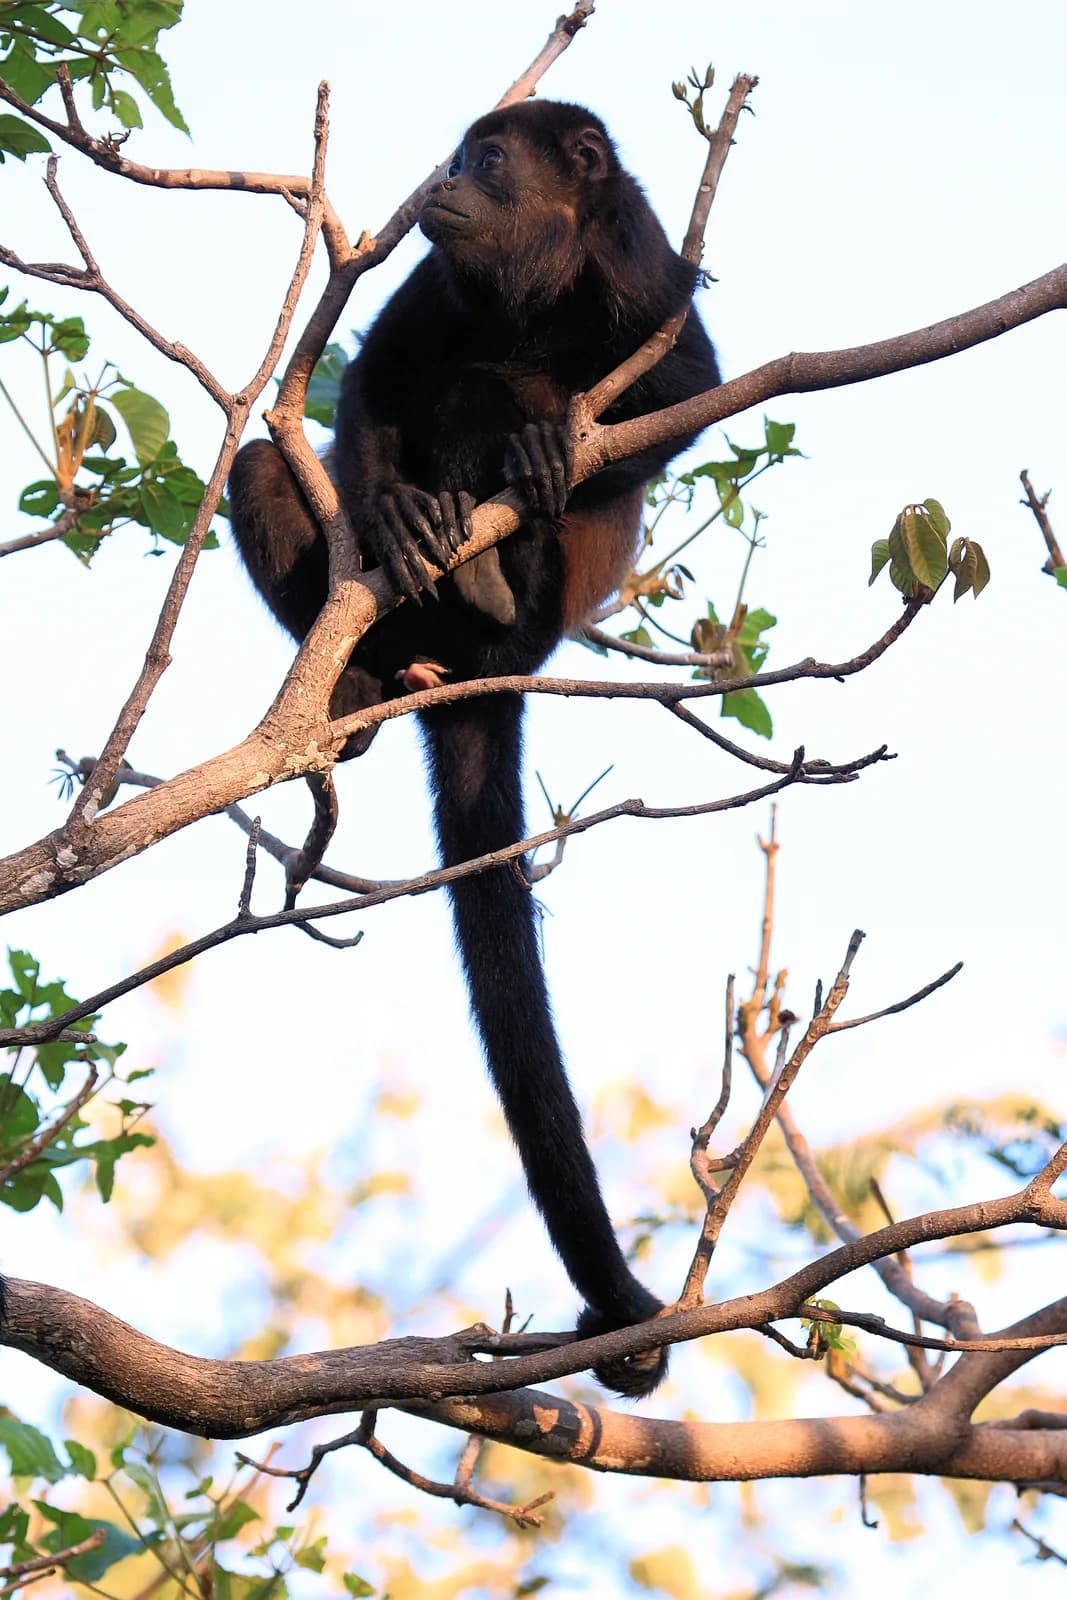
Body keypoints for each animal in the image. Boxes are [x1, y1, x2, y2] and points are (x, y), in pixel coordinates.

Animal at [228, 100, 721, 1396]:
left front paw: (542, 445)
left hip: (540, 619)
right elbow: (373, 384)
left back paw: (504, 541)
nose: (440, 180)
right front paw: (396, 503)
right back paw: (363, 660)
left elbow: (693, 391)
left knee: (495, 402)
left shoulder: (646, 268)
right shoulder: (434, 277)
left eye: (488, 160)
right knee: (274, 458)